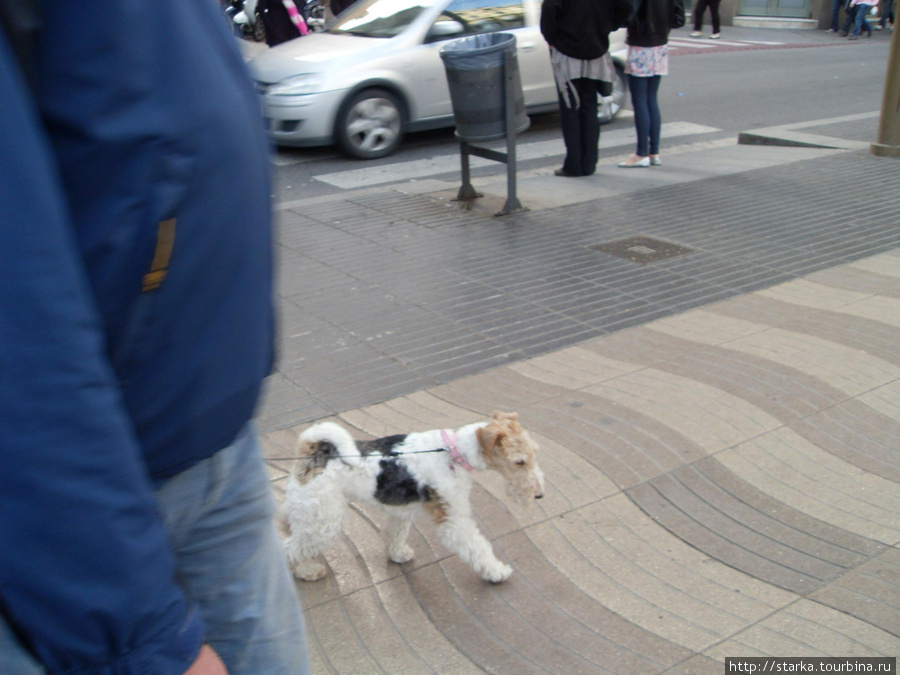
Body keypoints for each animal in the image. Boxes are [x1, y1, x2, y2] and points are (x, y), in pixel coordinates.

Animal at [282, 412, 544, 588]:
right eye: (519, 461)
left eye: (534, 453)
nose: (539, 494)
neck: (454, 452)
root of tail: (312, 452)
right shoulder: (454, 519)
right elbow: (478, 547)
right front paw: (497, 572)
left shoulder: (401, 510)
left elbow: (396, 534)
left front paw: (398, 554)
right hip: (324, 521)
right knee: (290, 549)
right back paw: (308, 571)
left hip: (311, 513)